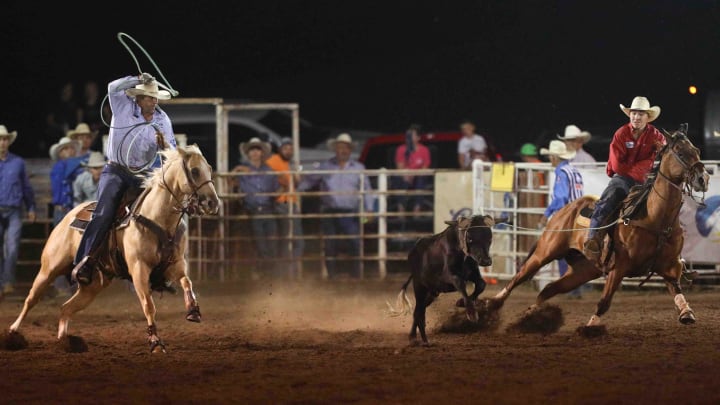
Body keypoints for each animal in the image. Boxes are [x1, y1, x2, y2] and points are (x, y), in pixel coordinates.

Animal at [6, 144, 219, 350]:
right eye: (194, 171)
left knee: (66, 308)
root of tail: (68, 216)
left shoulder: (176, 264)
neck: (157, 218)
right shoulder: (139, 269)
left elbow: (187, 283)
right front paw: (155, 341)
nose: (213, 203)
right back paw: (13, 334)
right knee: (31, 300)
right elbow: (148, 305)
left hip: (94, 284)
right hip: (49, 269)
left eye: (209, 169)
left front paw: (193, 311)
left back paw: (66, 342)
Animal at [490, 123, 708, 328]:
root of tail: (563, 211)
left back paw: (530, 317)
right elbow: (604, 302)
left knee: (549, 289)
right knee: (519, 277)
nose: (702, 179)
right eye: (680, 151)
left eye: (697, 150)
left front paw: (687, 313)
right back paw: (493, 304)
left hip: (583, 269)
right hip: (545, 252)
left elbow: (677, 291)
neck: (656, 219)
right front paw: (590, 327)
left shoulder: (670, 267)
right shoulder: (618, 267)